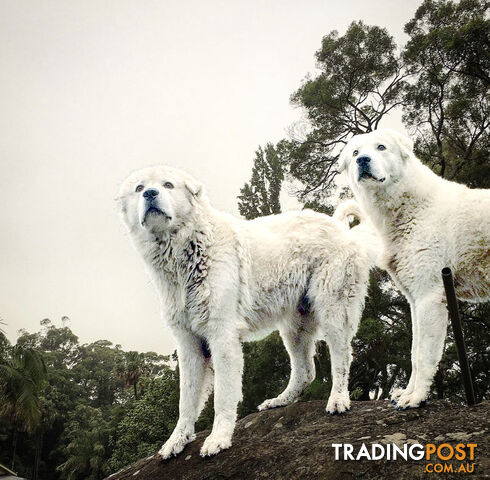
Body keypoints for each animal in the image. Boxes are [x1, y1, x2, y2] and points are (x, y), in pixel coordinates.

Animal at [117, 167, 378, 460]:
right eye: (140, 188)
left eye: (168, 185)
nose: (151, 194)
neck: (187, 248)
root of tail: (343, 229)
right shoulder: (189, 344)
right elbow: (187, 400)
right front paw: (177, 440)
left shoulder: (222, 337)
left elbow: (222, 397)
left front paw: (218, 438)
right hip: (295, 328)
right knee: (306, 371)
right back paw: (280, 401)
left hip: (333, 308)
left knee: (342, 357)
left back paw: (339, 399)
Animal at [338, 129, 488, 410]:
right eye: (355, 152)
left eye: (381, 147)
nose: (362, 160)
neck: (415, 208)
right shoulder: (415, 300)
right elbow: (414, 352)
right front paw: (406, 393)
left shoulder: (430, 296)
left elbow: (424, 355)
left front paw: (416, 398)